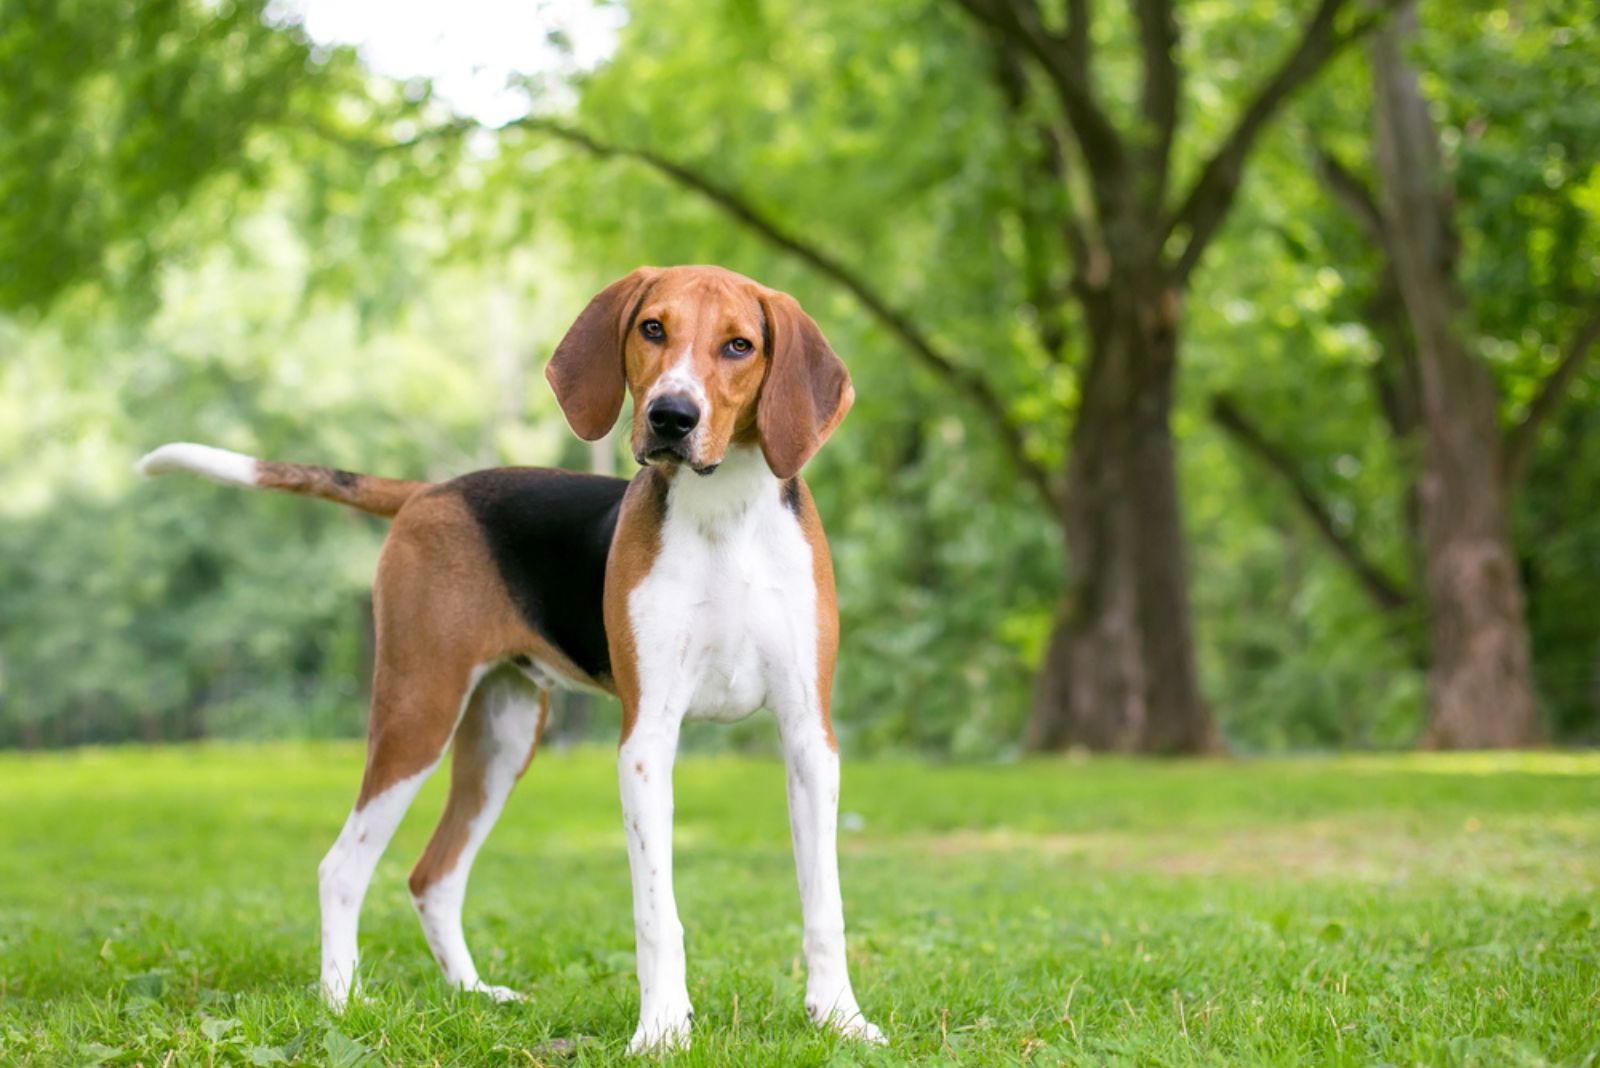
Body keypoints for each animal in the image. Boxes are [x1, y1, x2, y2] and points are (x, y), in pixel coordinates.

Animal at [134, 262, 889, 1048]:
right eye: (653, 328)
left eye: (740, 345)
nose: (671, 417)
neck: (727, 518)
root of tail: (431, 491)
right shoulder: (647, 740)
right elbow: (658, 911)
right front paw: (661, 1030)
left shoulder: (809, 737)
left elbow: (825, 903)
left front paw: (840, 1018)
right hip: (419, 713)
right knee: (342, 867)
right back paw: (342, 1003)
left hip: (501, 738)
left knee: (433, 877)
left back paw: (473, 995)